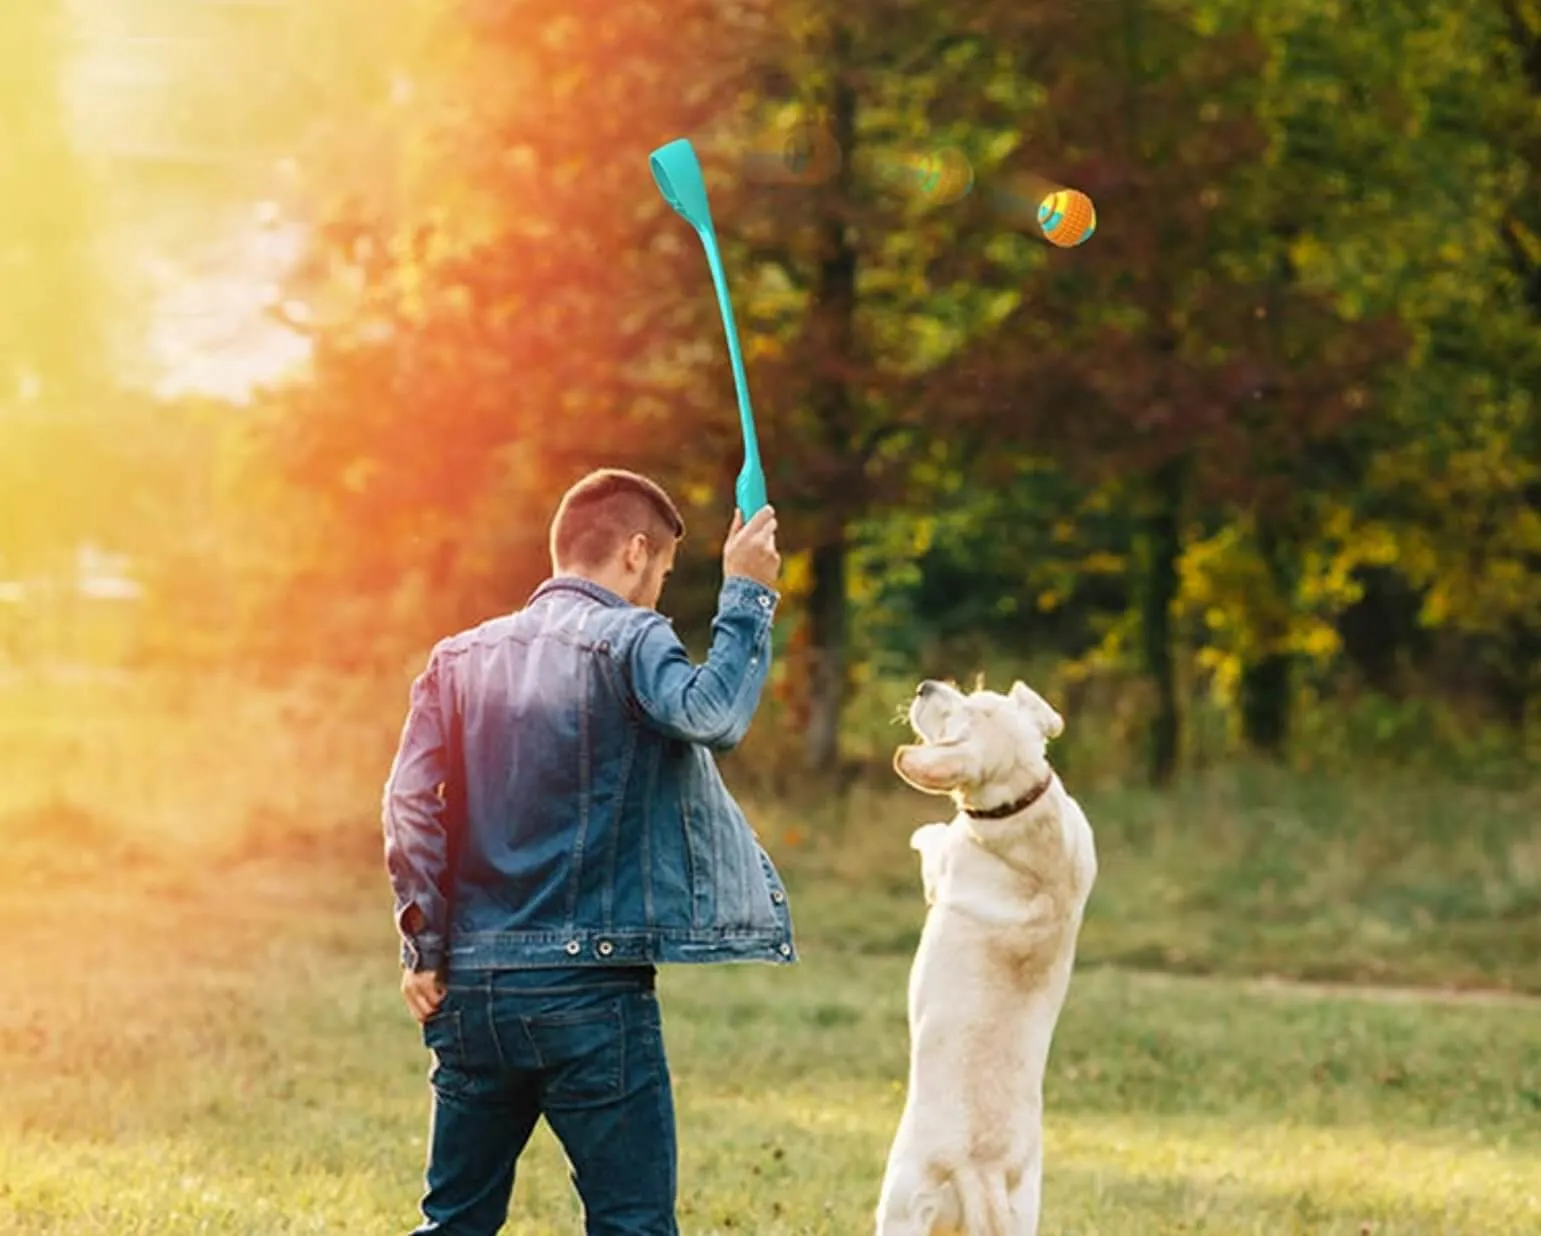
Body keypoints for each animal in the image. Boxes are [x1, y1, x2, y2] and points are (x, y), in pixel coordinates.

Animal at [881, 675, 1097, 1232]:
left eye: (952, 720)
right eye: (975, 694)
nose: (925, 685)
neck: (1024, 800)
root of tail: (980, 1169)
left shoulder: (944, 867)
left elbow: (937, 845)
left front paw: (926, 831)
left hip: (899, 1200)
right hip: (1023, 1210)